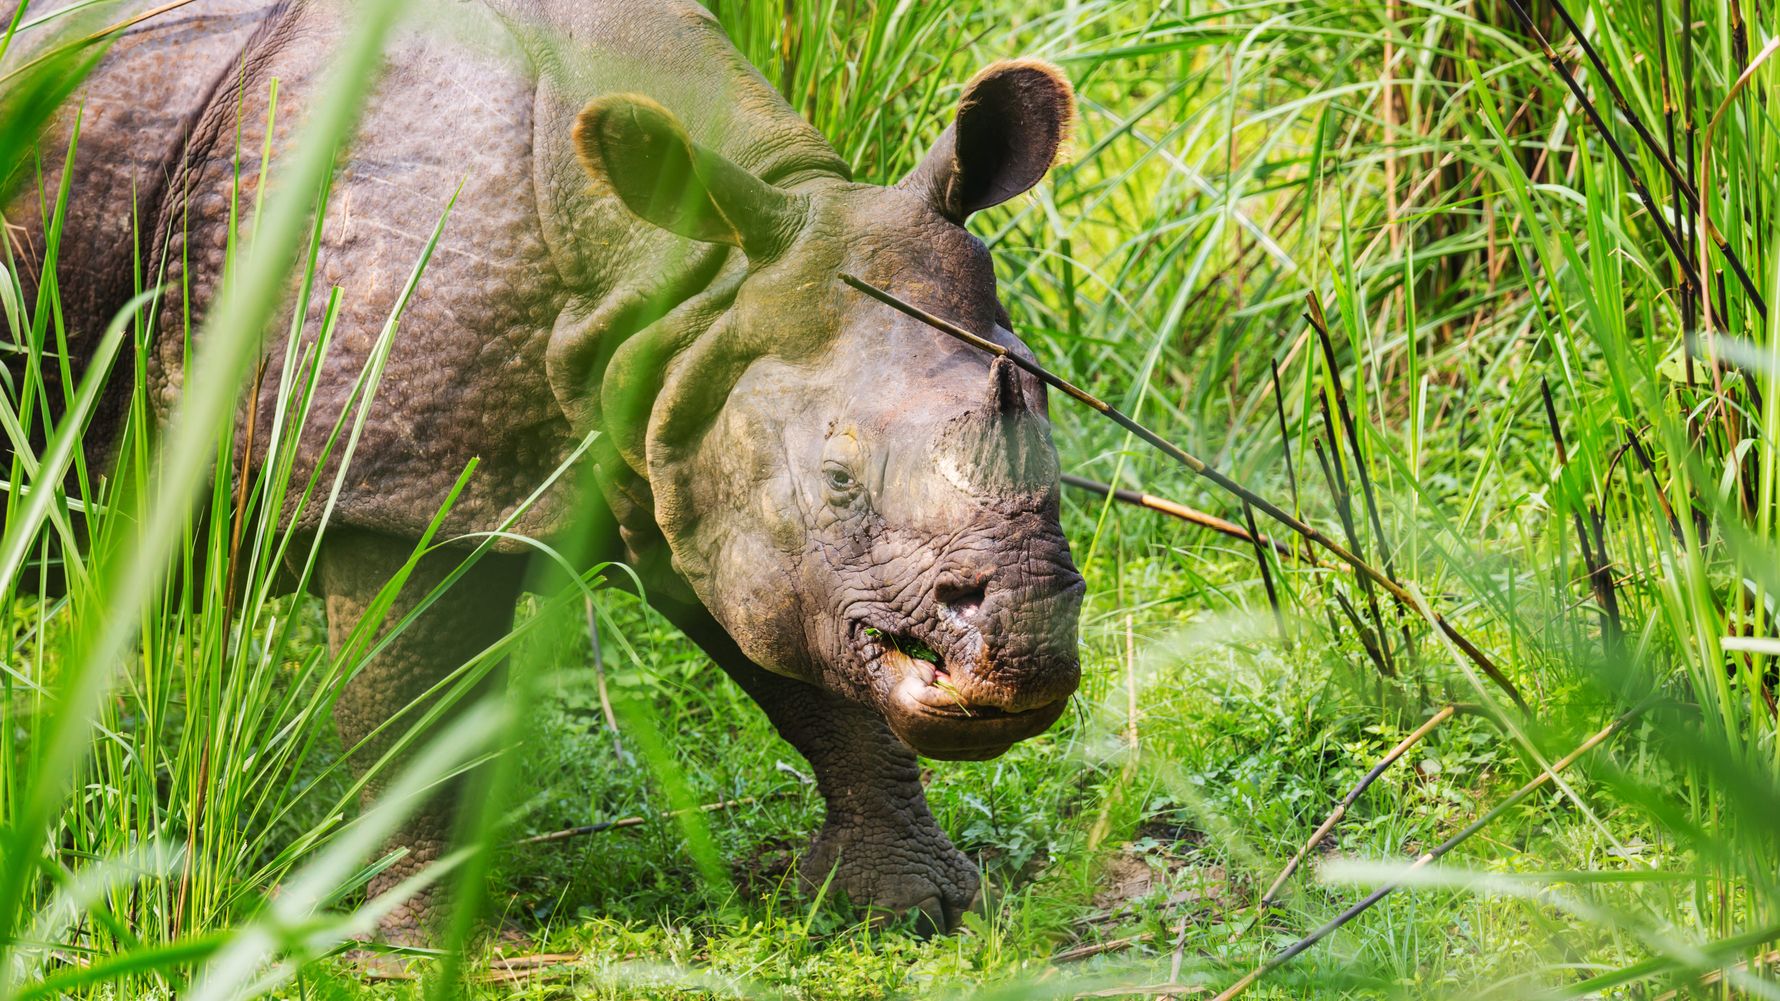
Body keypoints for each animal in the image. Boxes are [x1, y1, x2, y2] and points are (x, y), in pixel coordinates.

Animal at [2, 0, 1084, 939]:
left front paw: (908, 906)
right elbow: (408, 715)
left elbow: (811, 667)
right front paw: (417, 943)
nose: (1026, 642)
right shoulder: (398, 482)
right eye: (837, 479)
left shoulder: (678, 425)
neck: (677, 270)